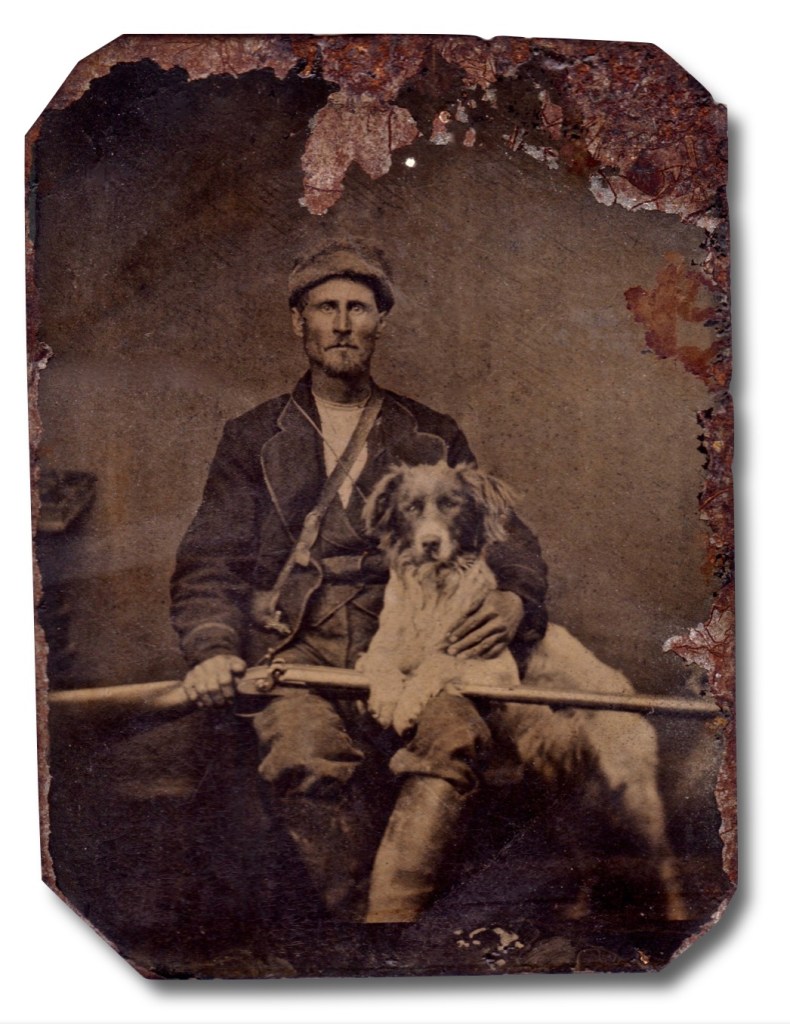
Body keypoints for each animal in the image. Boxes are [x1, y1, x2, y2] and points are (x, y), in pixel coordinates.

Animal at [358, 459, 688, 922]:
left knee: (664, 864)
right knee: (585, 860)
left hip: (633, 794)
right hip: (562, 806)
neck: (433, 593)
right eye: (410, 507)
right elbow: (383, 665)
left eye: (452, 504)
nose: (430, 543)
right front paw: (387, 697)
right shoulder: (376, 652)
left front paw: (407, 702)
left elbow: (438, 661)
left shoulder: (494, 669)